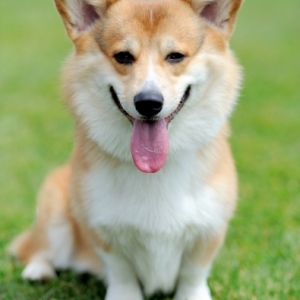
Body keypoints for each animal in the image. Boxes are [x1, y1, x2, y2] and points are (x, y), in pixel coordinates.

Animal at [9, 0, 244, 298]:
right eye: (123, 56)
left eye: (176, 56)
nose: (148, 103)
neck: (155, 173)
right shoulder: (103, 229)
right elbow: (121, 270)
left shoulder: (209, 230)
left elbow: (193, 273)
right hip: (54, 210)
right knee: (39, 248)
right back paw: (39, 271)